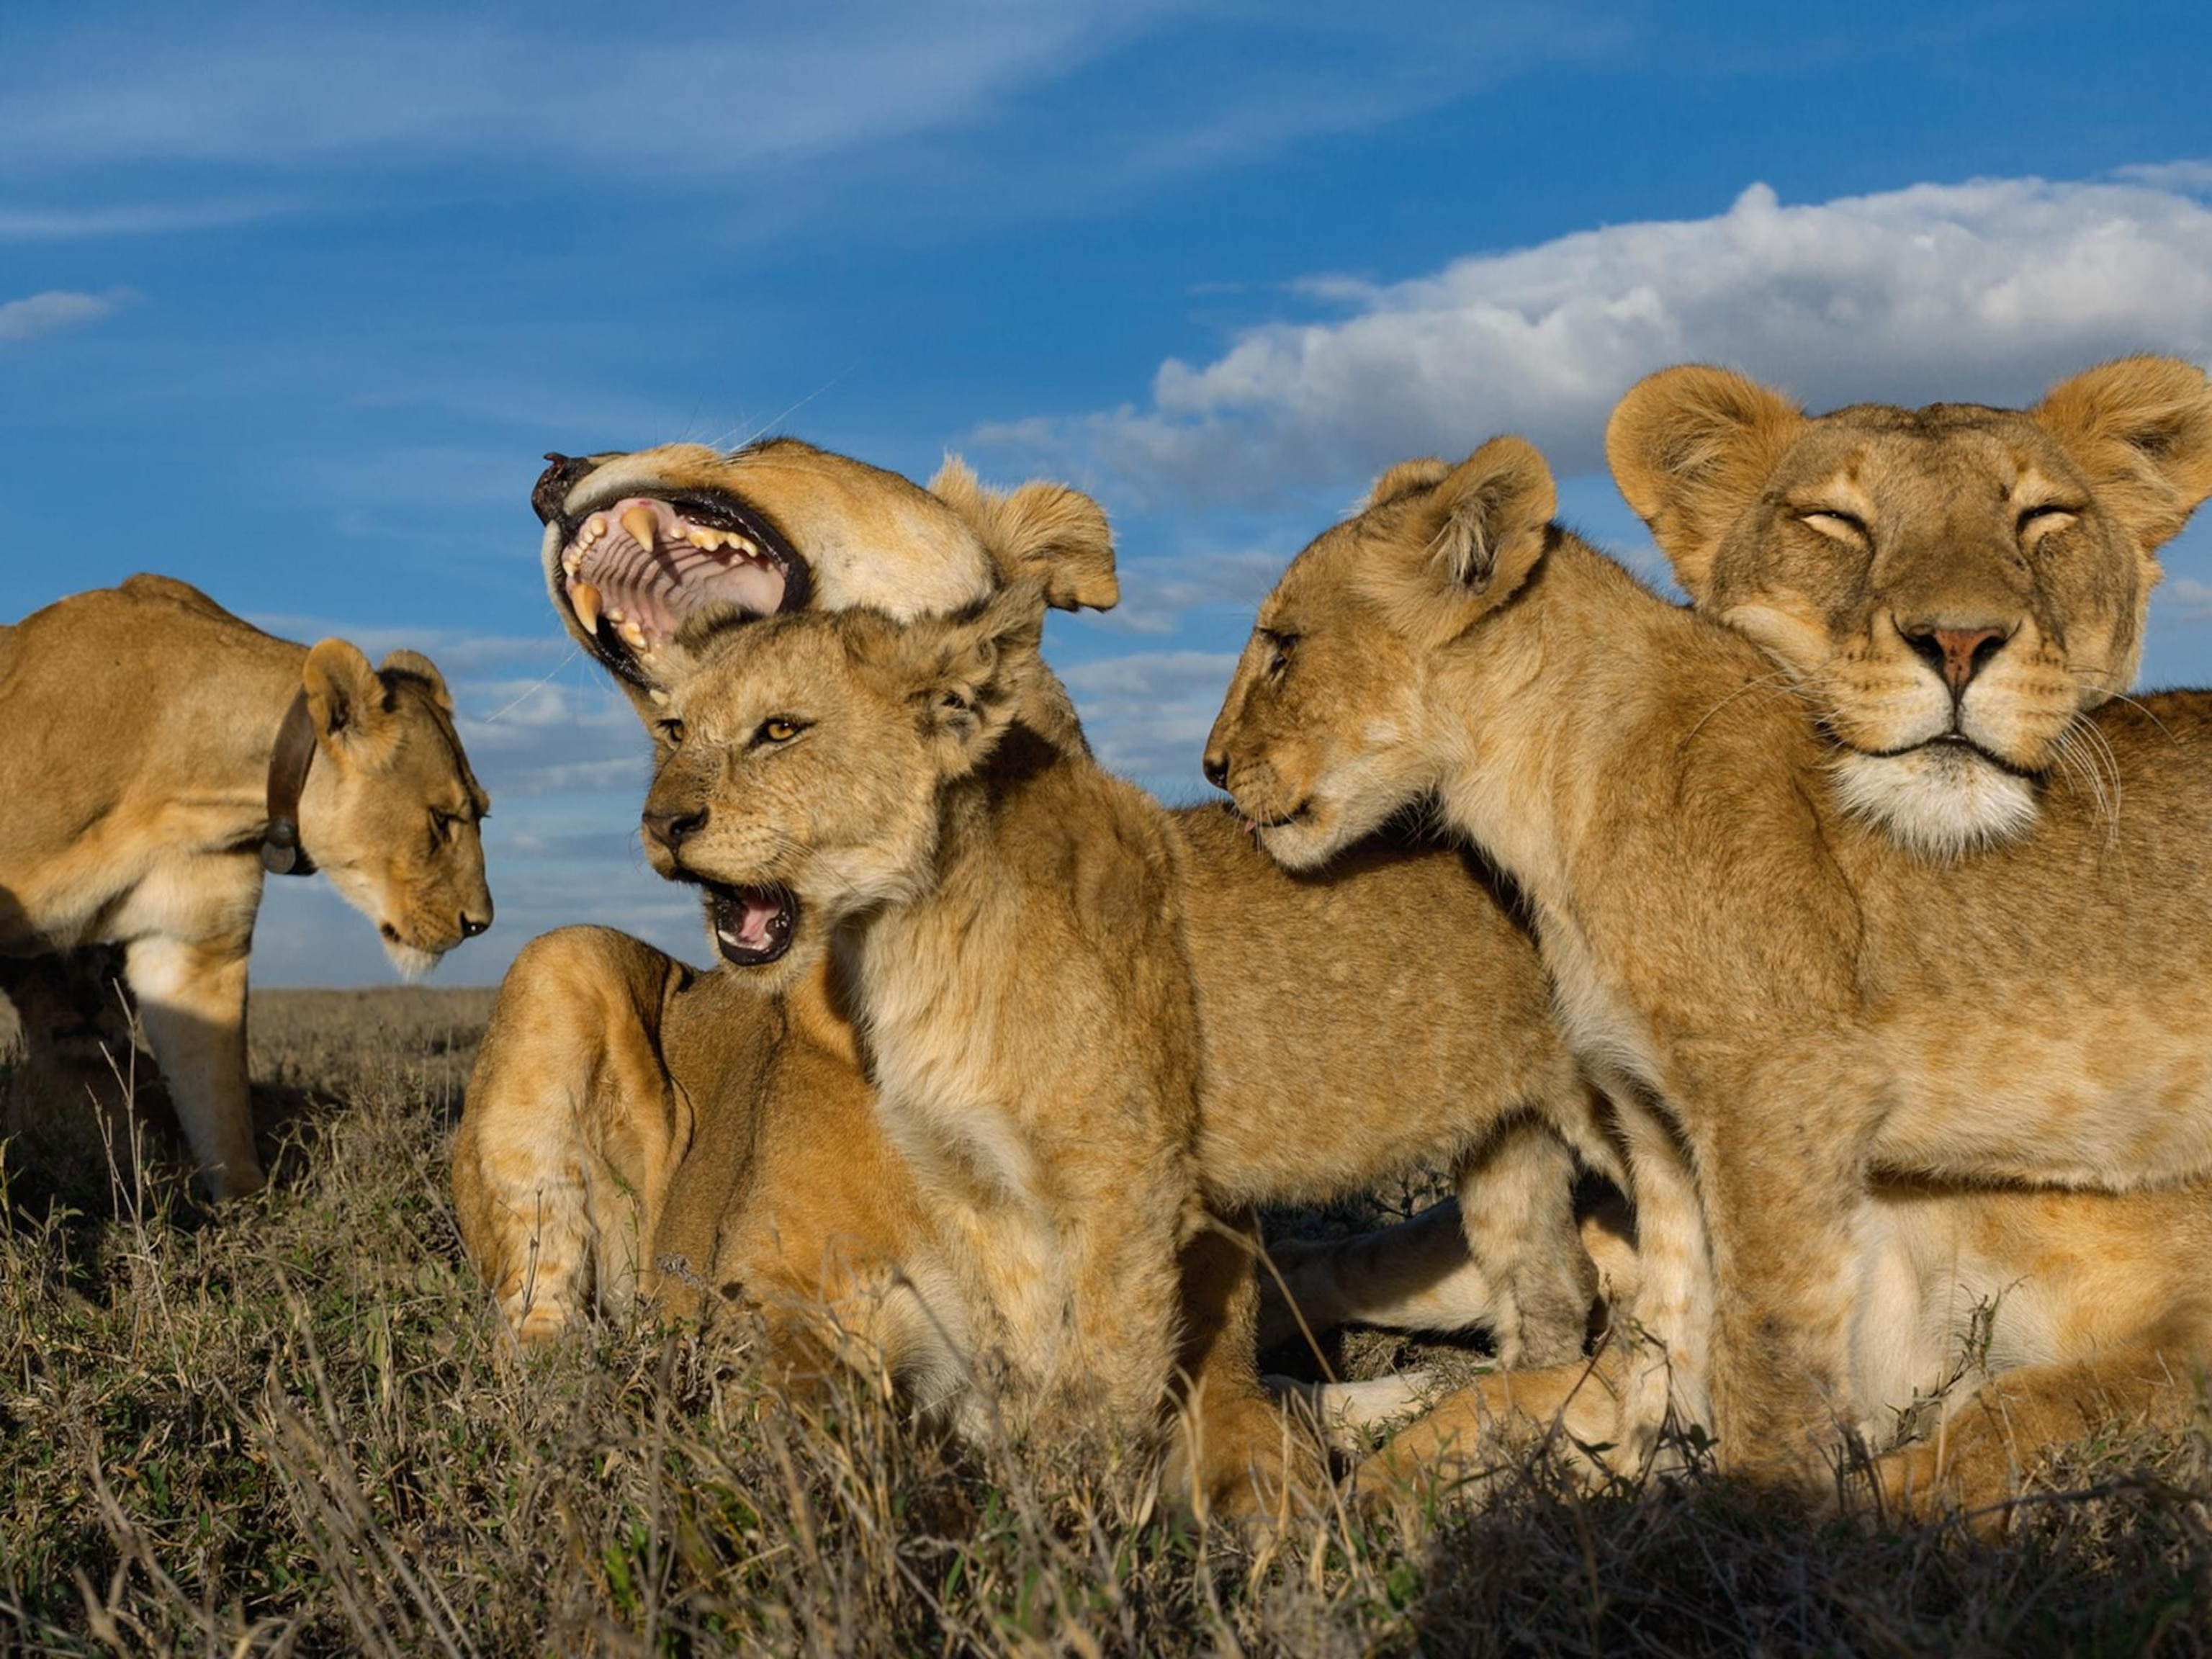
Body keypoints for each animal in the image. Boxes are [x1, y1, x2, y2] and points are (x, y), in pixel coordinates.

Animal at [1, 575, 493, 1197]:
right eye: (441, 819)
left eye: (481, 813)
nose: (480, 923)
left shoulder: (193, 948)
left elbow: (218, 1102)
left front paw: (247, 1206)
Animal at [456, 441, 1618, 1515]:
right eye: (679, 731)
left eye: (764, 451)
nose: (553, 470)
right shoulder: (779, 1299)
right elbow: (808, 1432)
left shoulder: (1178, 1282)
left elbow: (1251, 1451)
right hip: (560, 962)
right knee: (537, 1336)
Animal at [1202, 433, 2212, 1496]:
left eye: (1282, 647)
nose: (1212, 767)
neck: (1544, 794)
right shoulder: (1652, 1110)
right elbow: (1673, 1328)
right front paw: (1645, 1474)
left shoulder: (1787, 1095)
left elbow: (1777, 1343)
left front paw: (1768, 1508)